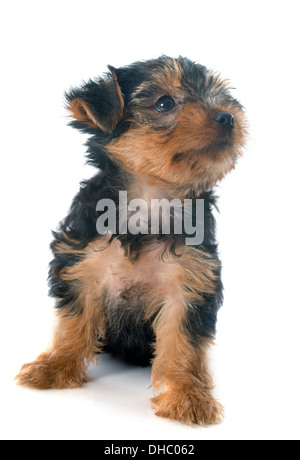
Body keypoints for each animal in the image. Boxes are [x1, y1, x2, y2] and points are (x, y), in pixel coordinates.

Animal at [16, 55, 246, 426]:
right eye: (164, 103)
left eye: (224, 100)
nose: (228, 117)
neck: (150, 198)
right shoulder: (81, 262)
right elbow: (74, 321)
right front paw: (55, 366)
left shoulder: (190, 280)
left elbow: (183, 341)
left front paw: (187, 395)